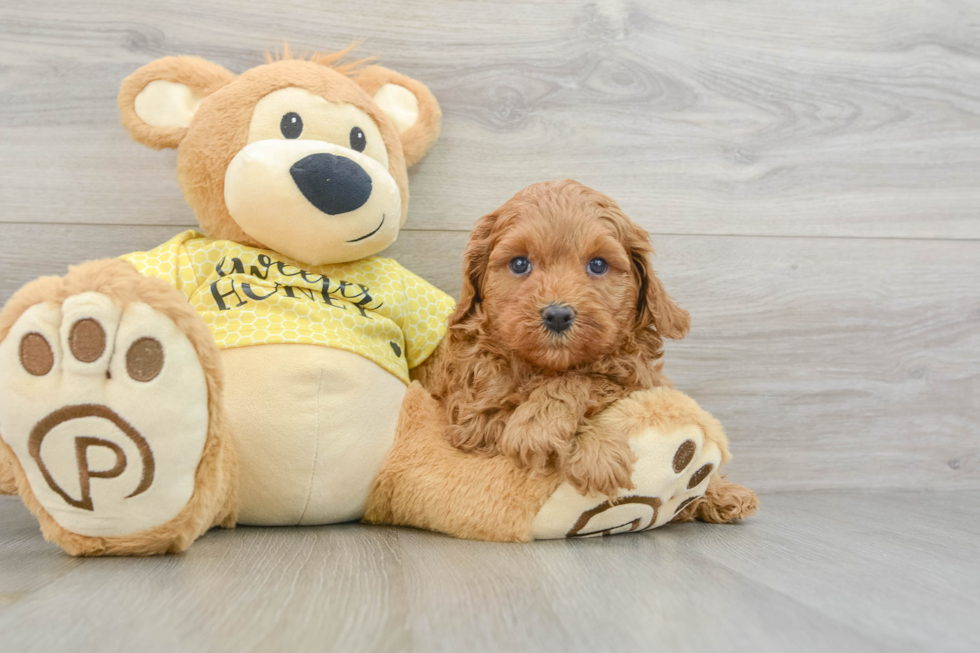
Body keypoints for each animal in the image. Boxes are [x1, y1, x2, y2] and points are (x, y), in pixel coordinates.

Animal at [424, 178, 692, 494]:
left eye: (598, 265)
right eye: (519, 264)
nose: (558, 315)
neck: (546, 368)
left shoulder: (641, 379)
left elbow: (584, 378)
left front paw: (546, 429)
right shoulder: (472, 416)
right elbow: (502, 415)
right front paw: (595, 451)